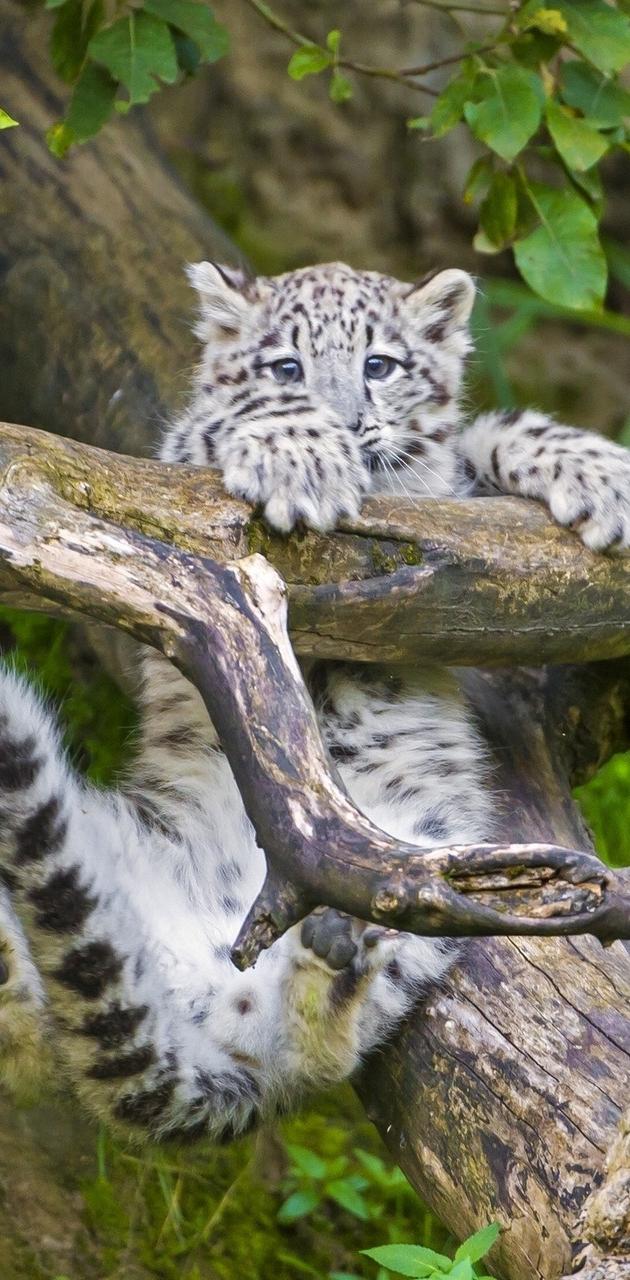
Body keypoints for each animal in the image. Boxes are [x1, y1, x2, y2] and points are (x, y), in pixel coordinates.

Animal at [0, 260, 628, 1143]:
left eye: (380, 364)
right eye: (287, 366)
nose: (349, 423)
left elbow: (480, 438)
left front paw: (600, 474)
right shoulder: (170, 470)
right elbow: (211, 425)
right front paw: (299, 459)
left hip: (435, 885)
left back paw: (335, 955)